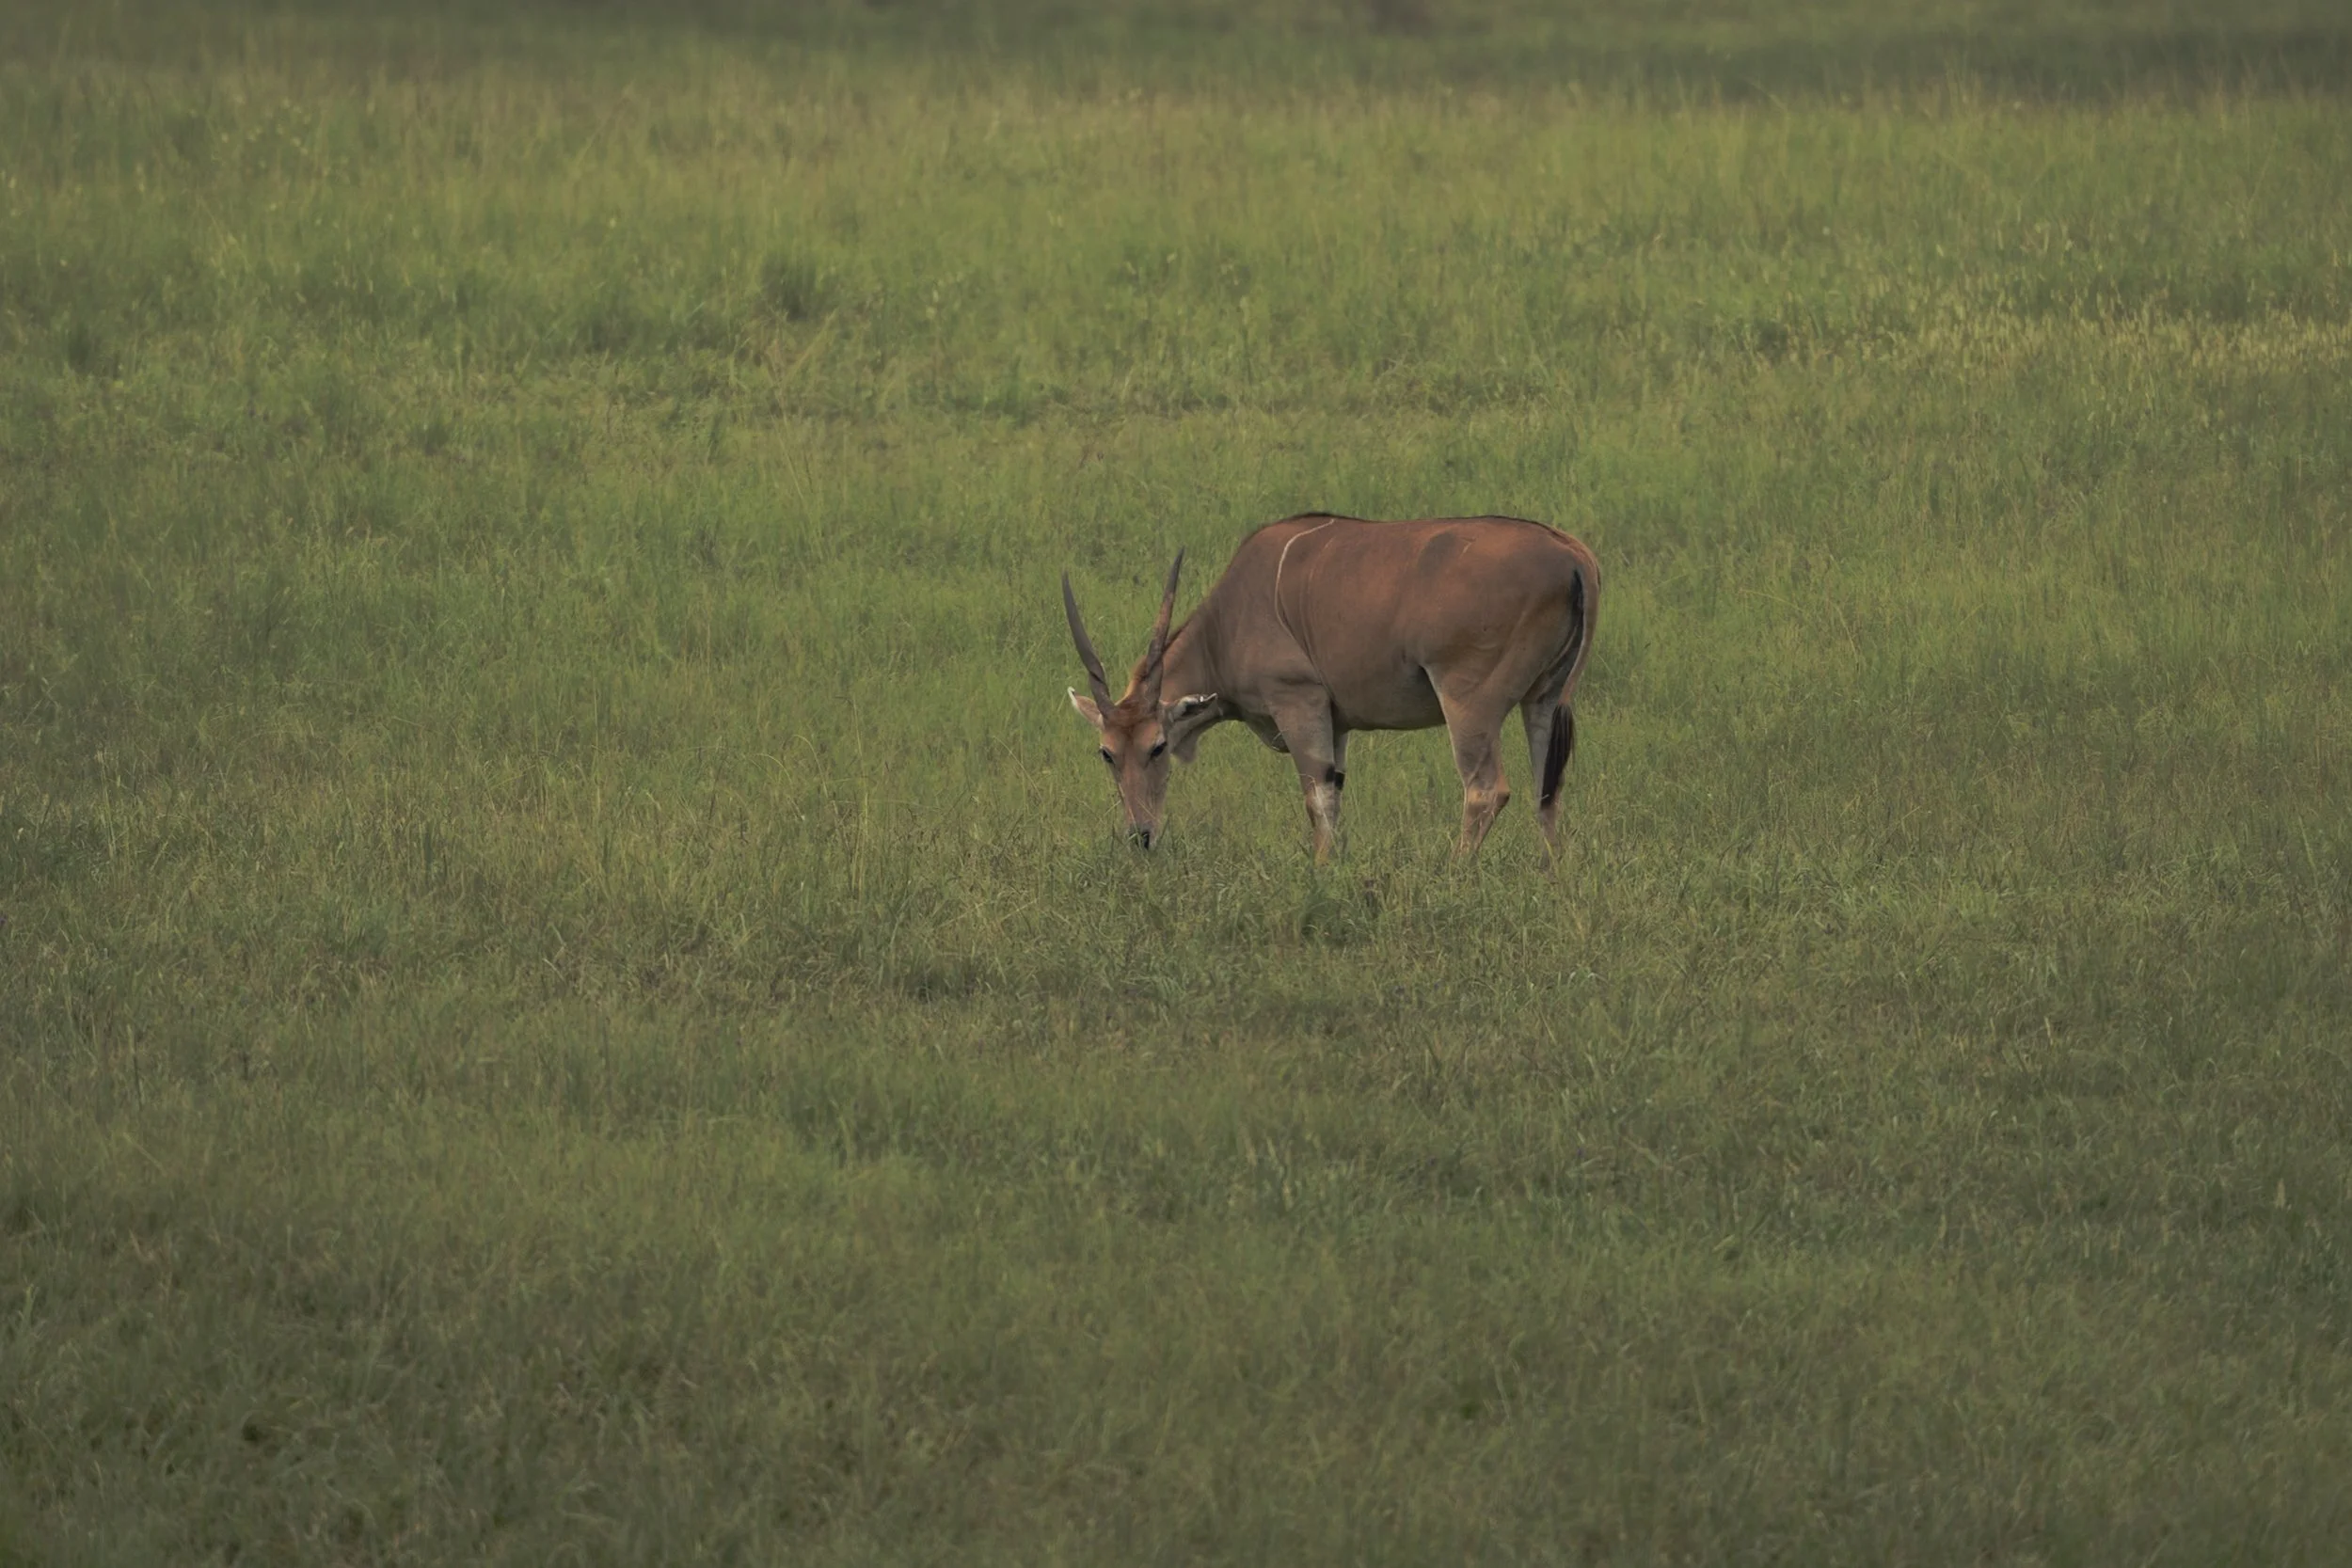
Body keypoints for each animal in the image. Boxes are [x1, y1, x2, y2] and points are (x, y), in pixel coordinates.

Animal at [1063, 514, 1598, 864]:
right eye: (1106, 753)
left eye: (1157, 747)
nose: (1141, 836)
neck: (1229, 619)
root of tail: (1570, 554)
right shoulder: (1335, 723)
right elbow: (1335, 796)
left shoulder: (1298, 702)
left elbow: (1317, 799)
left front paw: (1320, 874)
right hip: (1543, 701)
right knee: (1547, 790)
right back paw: (1554, 876)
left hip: (1469, 704)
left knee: (1486, 790)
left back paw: (1453, 876)